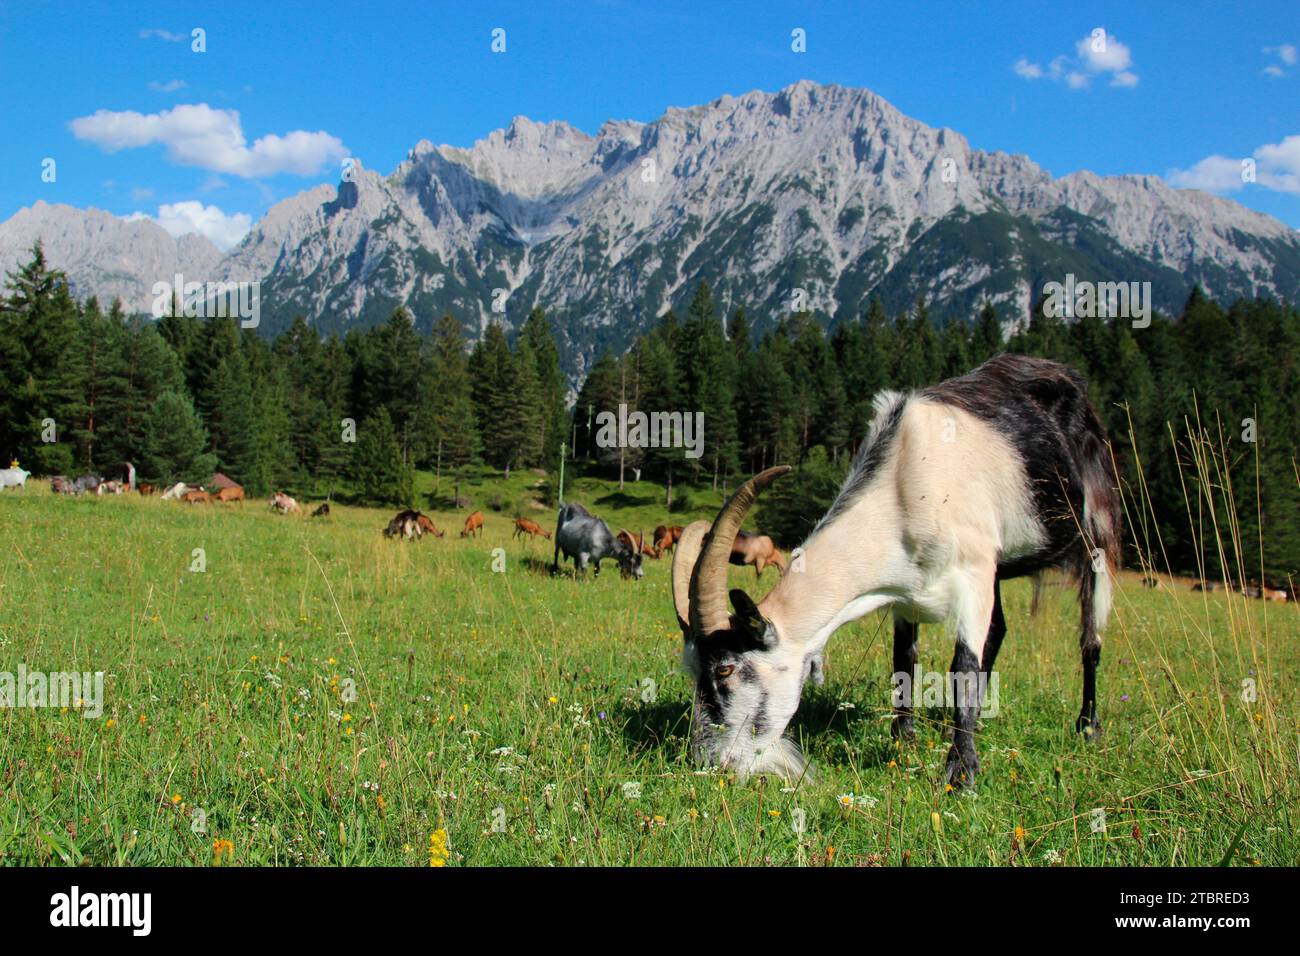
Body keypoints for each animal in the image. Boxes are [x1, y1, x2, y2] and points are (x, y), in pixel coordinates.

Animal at [670, 356, 1118, 790]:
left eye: (725, 669)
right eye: (692, 670)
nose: (712, 764)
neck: (908, 478)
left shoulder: (972, 572)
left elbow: (964, 667)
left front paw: (962, 774)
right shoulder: (907, 590)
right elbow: (904, 660)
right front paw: (905, 741)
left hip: (1096, 528)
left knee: (1090, 636)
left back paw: (1087, 727)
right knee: (999, 631)